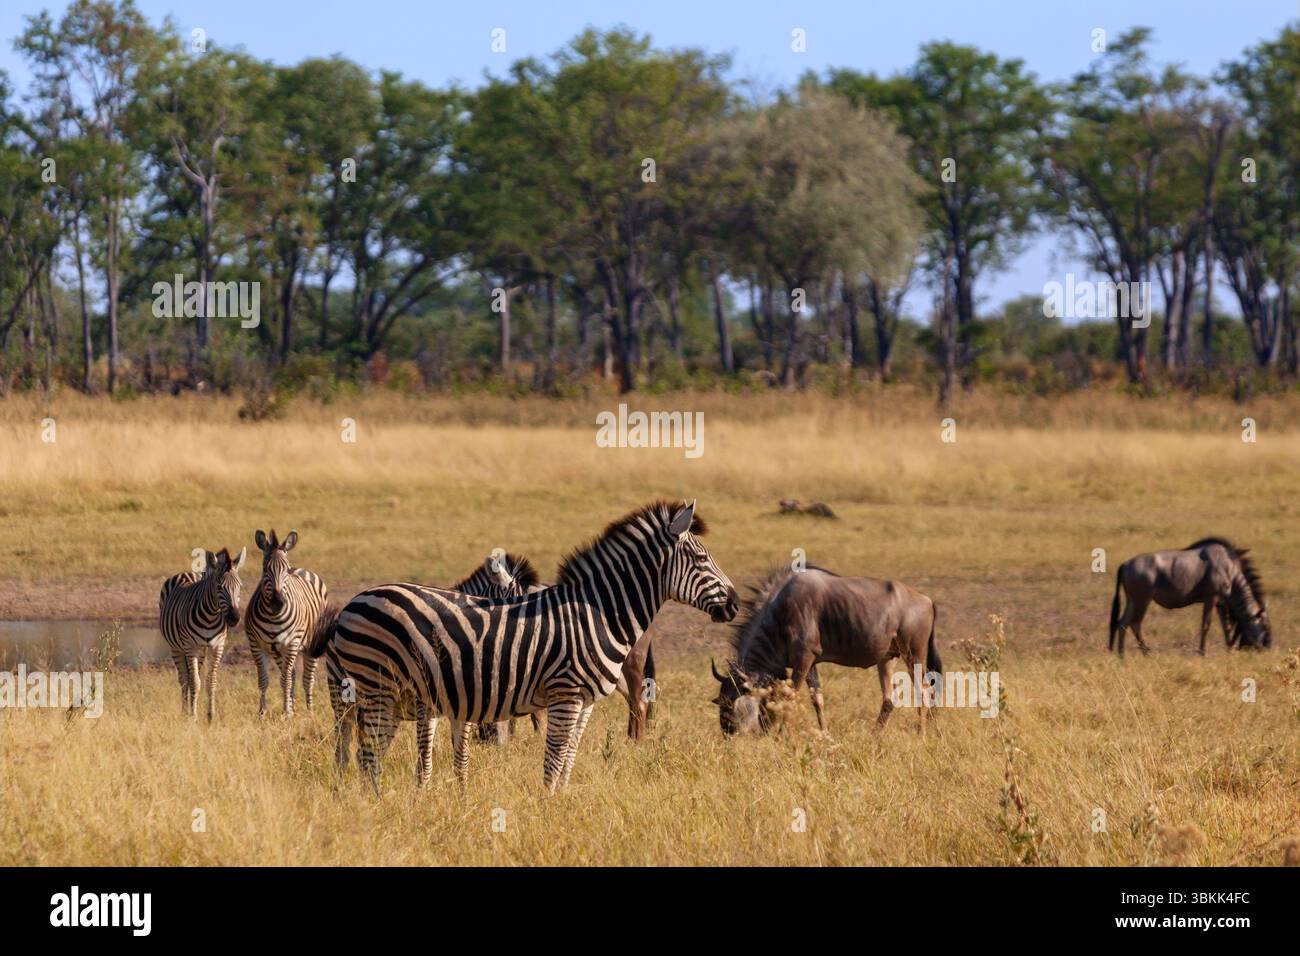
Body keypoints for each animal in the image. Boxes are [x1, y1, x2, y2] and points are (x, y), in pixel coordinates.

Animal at [159, 547, 246, 722]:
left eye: (239, 586)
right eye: (219, 586)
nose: (234, 618)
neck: (210, 616)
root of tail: (185, 573)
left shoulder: (217, 646)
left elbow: (210, 681)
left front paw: (210, 716)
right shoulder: (190, 646)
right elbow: (194, 682)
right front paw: (193, 716)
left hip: (202, 650)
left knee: (193, 675)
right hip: (177, 647)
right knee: (184, 679)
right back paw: (184, 711)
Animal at [244, 529, 330, 718]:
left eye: (286, 570)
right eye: (264, 569)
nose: (278, 603)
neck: (273, 616)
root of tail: (303, 569)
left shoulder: (291, 643)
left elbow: (285, 680)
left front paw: (287, 713)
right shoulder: (256, 645)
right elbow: (264, 680)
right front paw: (262, 713)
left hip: (311, 644)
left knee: (307, 678)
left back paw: (309, 710)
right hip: (278, 651)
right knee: (292, 674)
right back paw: (293, 707)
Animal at [311, 551, 541, 787]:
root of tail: (343, 612)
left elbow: (461, 761)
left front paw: (462, 793)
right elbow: (426, 763)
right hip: (343, 696)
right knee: (343, 749)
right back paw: (340, 789)